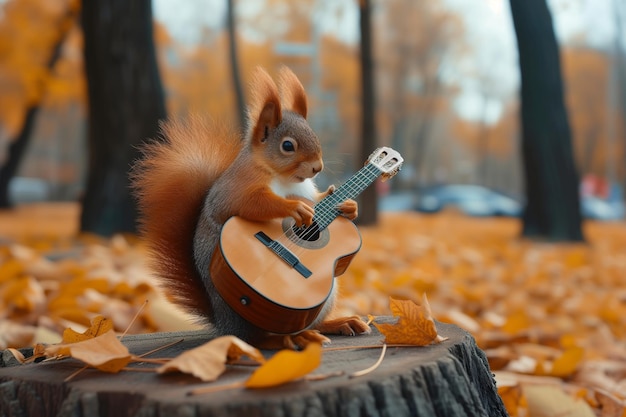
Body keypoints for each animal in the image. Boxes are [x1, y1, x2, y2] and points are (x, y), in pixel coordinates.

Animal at [131, 67, 366, 348]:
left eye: (315, 135)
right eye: (288, 146)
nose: (317, 167)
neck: (285, 178)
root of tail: (223, 324)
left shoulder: (309, 191)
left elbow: (322, 198)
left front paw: (349, 206)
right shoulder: (237, 187)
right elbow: (249, 203)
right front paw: (295, 207)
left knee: (305, 324)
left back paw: (336, 324)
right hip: (244, 316)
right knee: (257, 339)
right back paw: (291, 339)